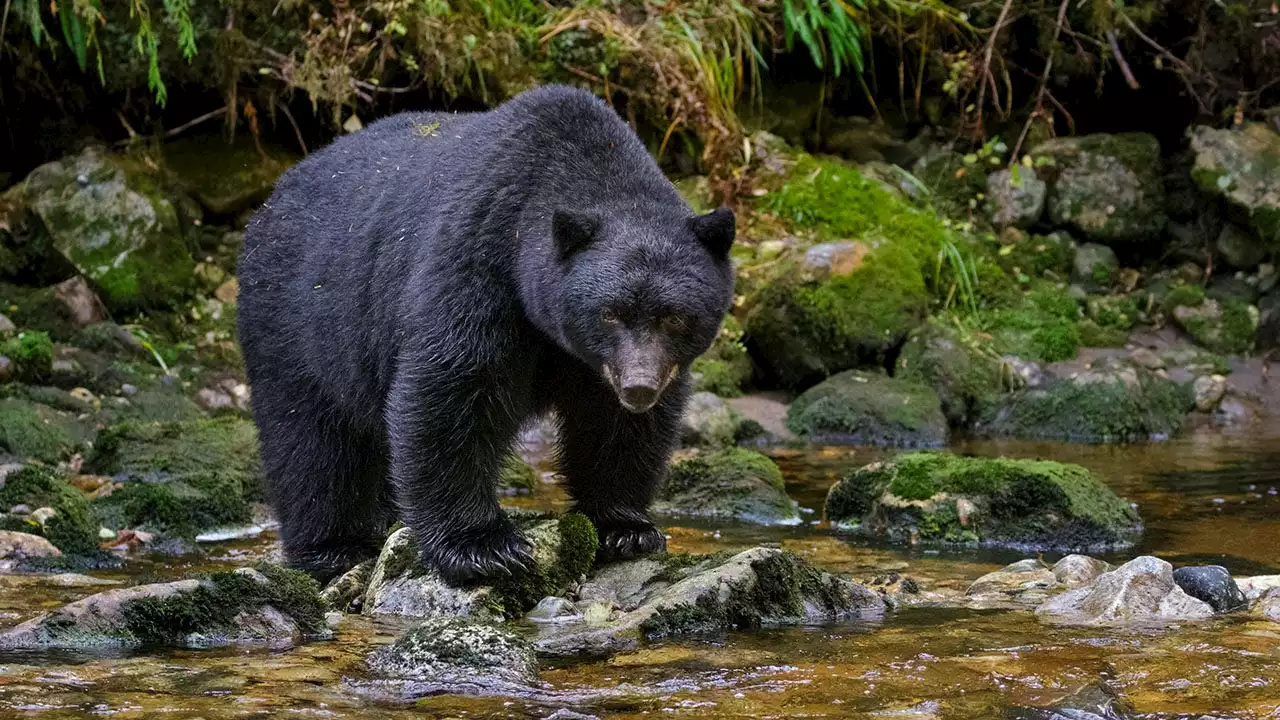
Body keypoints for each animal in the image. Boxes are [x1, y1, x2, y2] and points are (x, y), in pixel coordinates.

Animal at [239, 87, 737, 586]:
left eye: (674, 317)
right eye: (611, 313)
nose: (639, 387)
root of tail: (272, 198)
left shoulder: (601, 363)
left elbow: (614, 424)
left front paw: (625, 527)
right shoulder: (478, 259)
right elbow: (452, 392)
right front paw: (482, 546)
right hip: (298, 319)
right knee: (310, 439)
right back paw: (333, 546)